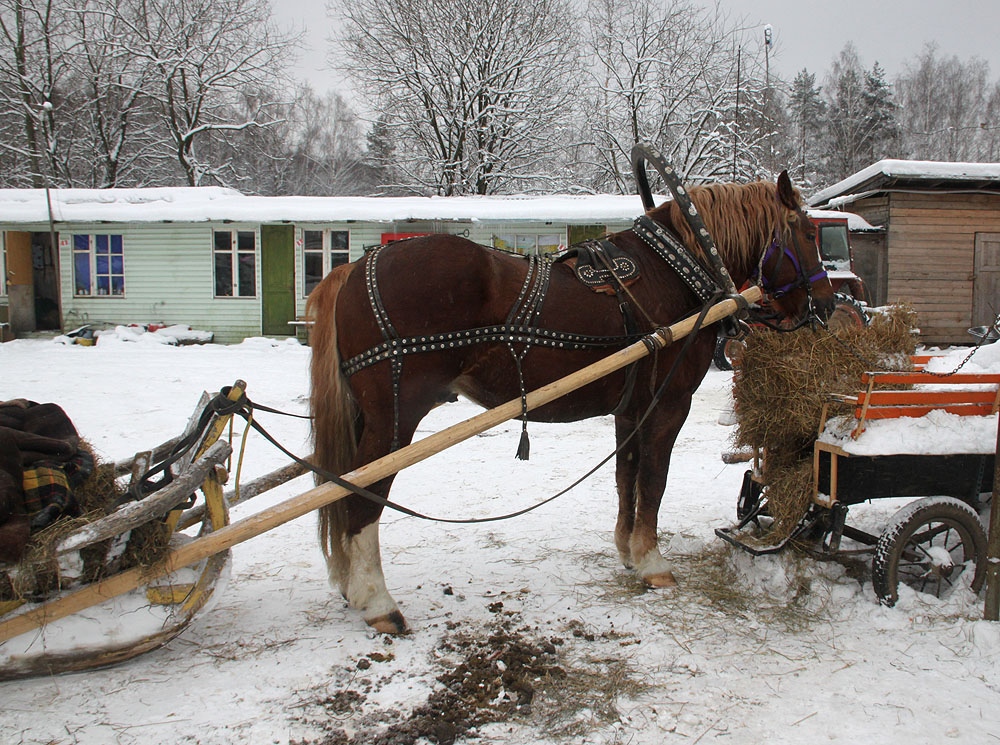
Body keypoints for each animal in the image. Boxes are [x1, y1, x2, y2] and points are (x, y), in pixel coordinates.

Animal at [306, 171, 836, 632]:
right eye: (808, 232)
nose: (828, 305)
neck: (678, 271)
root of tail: (354, 267)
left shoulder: (631, 410)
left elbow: (626, 478)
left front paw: (627, 552)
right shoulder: (669, 406)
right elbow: (654, 482)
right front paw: (653, 562)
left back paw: (353, 588)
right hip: (394, 421)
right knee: (360, 497)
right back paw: (378, 602)